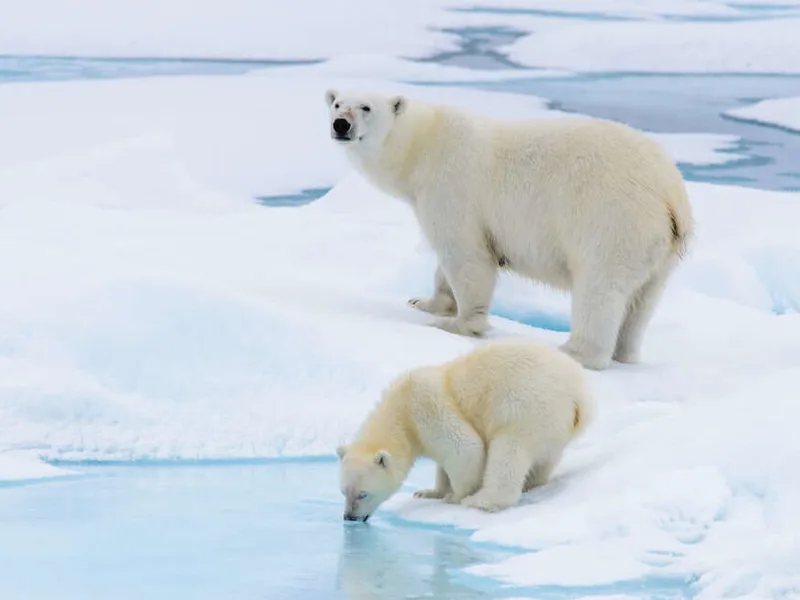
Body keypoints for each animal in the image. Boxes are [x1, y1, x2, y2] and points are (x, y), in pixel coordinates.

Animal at [324, 89, 694, 370]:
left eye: (366, 107)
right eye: (336, 102)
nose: (340, 124)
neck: (424, 144)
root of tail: (670, 192)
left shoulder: (452, 186)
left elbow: (466, 256)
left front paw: (457, 323)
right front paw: (424, 302)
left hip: (613, 221)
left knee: (600, 289)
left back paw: (574, 351)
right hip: (659, 249)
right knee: (642, 301)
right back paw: (625, 353)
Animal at [335, 337, 594, 520]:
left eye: (363, 493)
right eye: (343, 491)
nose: (349, 517)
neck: (401, 409)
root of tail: (579, 397)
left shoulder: (426, 407)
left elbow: (465, 449)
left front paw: (455, 496)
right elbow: (443, 463)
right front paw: (430, 492)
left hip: (526, 408)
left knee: (509, 452)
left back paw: (482, 500)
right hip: (553, 426)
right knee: (544, 460)